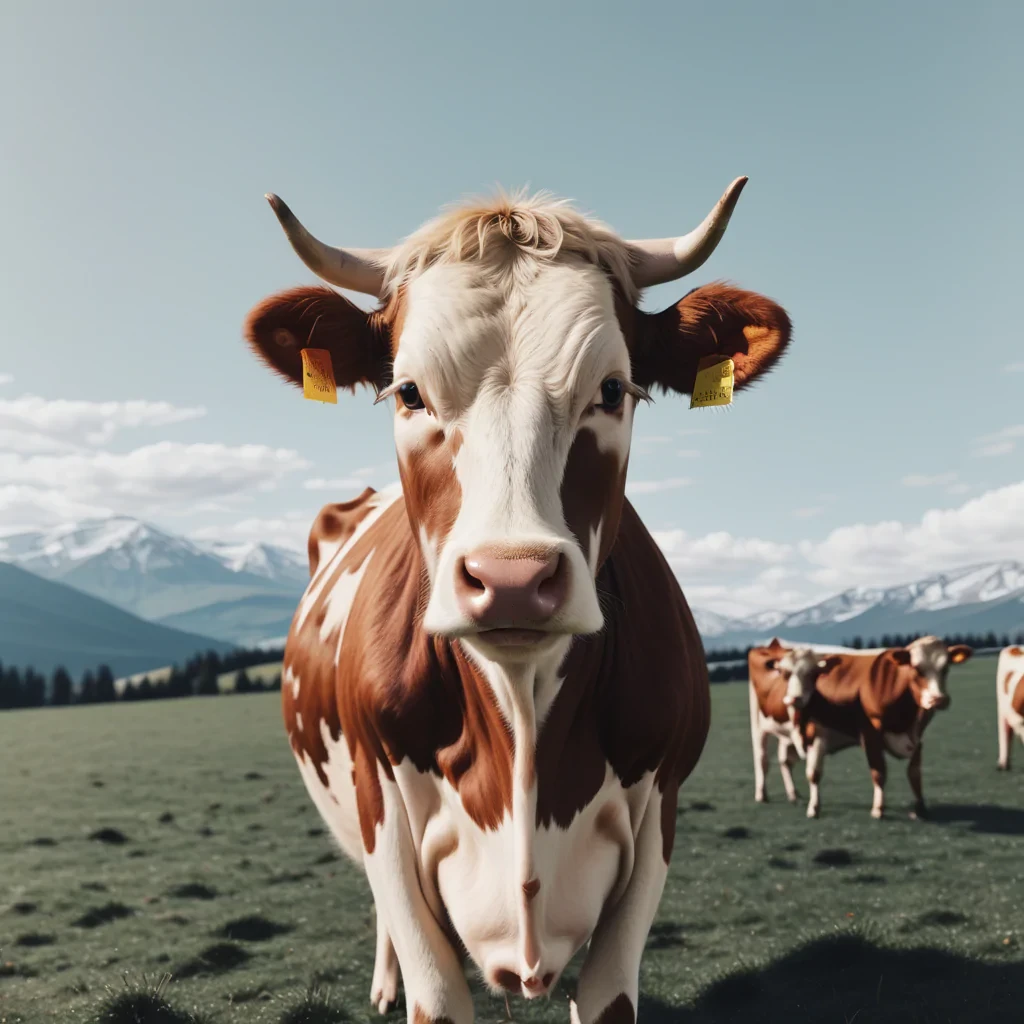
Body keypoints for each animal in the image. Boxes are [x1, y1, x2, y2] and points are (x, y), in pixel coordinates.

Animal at [241, 178, 793, 1024]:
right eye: (409, 392)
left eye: (613, 389)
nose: (509, 580)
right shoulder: (383, 814)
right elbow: (431, 983)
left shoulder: (657, 820)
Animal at [747, 640, 841, 804]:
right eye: (785, 673)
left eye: (813, 673)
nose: (794, 699)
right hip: (758, 723)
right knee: (762, 758)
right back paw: (761, 794)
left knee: (784, 760)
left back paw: (793, 794)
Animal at [776, 637, 973, 819]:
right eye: (917, 669)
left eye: (945, 668)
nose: (938, 699)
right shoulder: (870, 735)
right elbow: (879, 772)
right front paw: (878, 809)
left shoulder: (917, 738)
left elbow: (914, 773)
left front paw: (921, 808)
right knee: (798, 765)